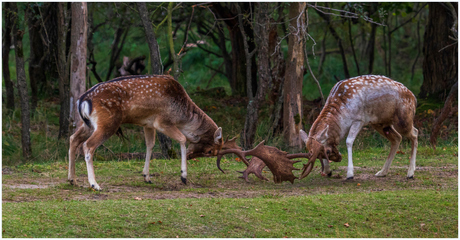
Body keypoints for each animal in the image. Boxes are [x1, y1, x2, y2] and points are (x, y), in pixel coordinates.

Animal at [67, 74, 234, 190]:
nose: (192, 156)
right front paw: (183, 176)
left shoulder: (148, 123)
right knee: (88, 145)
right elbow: (182, 139)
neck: (181, 115)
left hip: (88, 124)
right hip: (107, 123)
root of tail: (82, 100)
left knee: (73, 139)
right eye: (211, 151)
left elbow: (150, 145)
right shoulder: (162, 121)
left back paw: (72, 180)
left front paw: (146, 176)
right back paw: (95, 184)